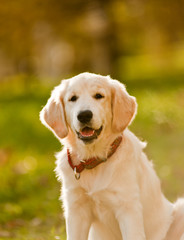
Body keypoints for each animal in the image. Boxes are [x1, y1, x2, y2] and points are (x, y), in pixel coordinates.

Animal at [40, 72, 184, 240]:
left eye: (99, 96)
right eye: (73, 98)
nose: (84, 115)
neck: (94, 160)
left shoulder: (128, 208)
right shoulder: (76, 209)